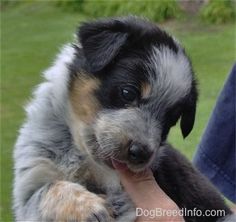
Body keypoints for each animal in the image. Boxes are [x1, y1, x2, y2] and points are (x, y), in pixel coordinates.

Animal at [13, 16, 233, 222]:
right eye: (128, 92)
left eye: (170, 120)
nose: (141, 154)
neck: (81, 154)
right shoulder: (30, 183)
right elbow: (48, 189)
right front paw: (92, 208)